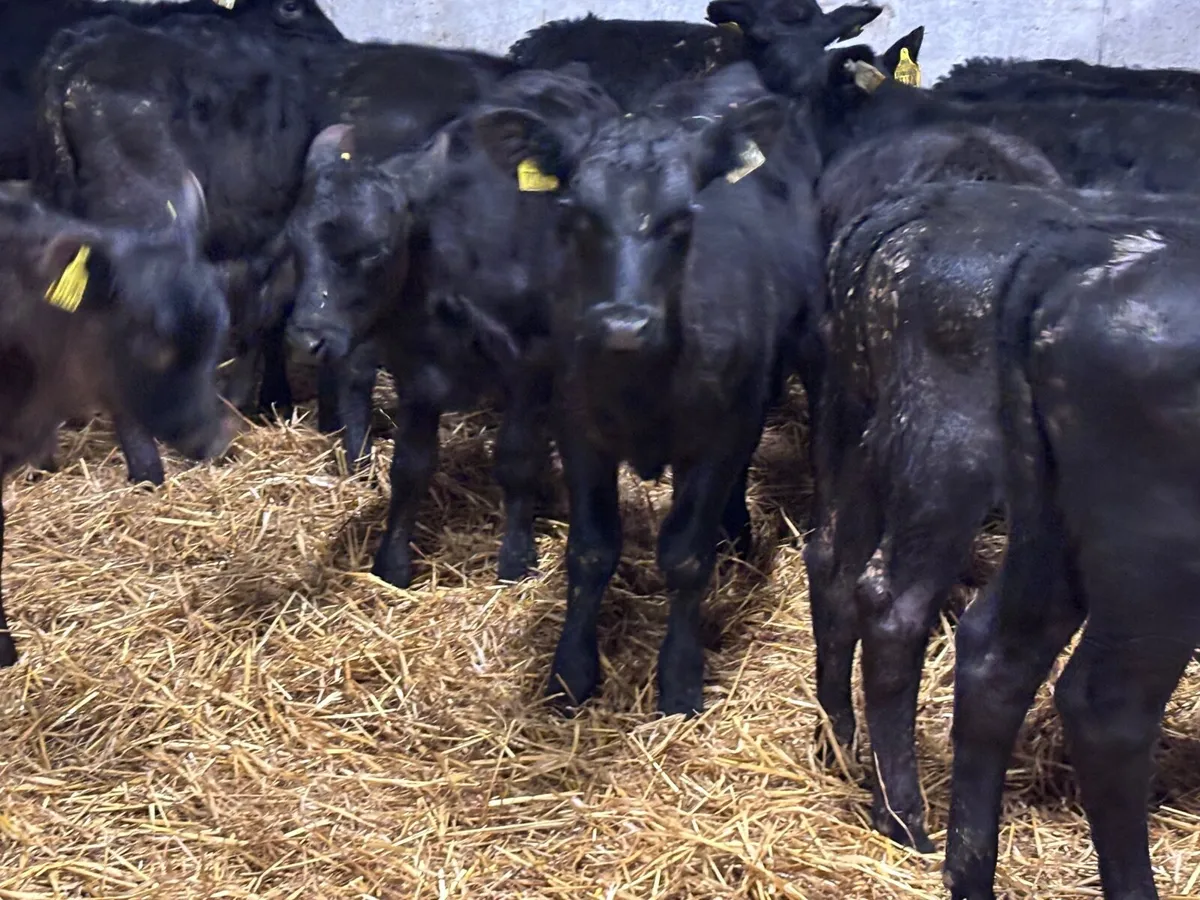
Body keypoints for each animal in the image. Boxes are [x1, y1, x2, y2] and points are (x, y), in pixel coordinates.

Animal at [286, 64, 622, 588]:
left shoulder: (530, 364)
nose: (308, 339)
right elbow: (411, 466)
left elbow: (517, 459)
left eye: (375, 250)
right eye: (296, 244)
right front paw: (392, 562)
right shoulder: (416, 370)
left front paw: (517, 558)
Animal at [470, 59, 827, 716]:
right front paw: (571, 672)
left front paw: (681, 679)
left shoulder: (720, 434)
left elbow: (686, 555)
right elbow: (590, 550)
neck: (642, 386)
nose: (622, 323)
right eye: (575, 215)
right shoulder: (578, 429)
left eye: (681, 219)